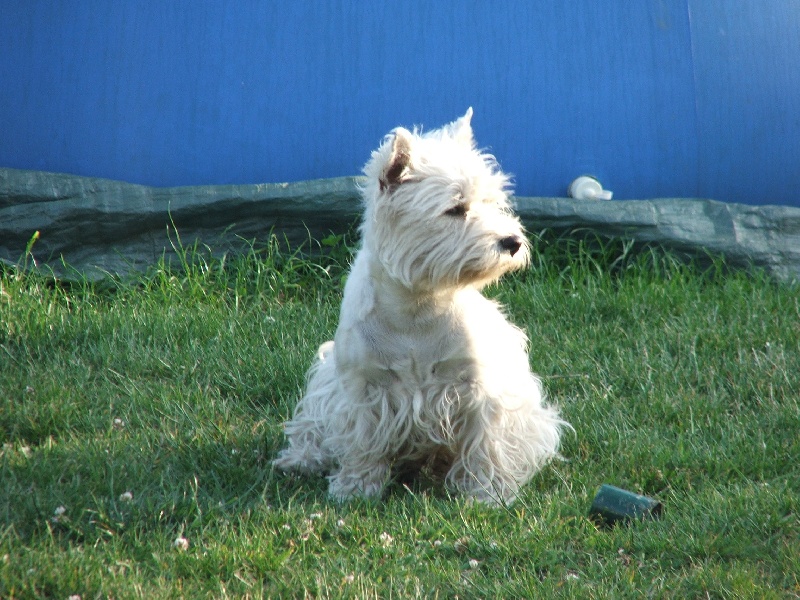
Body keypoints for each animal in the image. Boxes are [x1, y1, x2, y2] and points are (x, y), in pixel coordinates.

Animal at [276, 110, 564, 504]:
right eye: (455, 209)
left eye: (491, 202)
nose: (514, 242)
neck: (417, 309)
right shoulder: (363, 387)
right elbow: (362, 441)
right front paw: (355, 487)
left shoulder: (480, 390)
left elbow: (484, 444)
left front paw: (484, 493)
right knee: (311, 427)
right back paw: (299, 459)